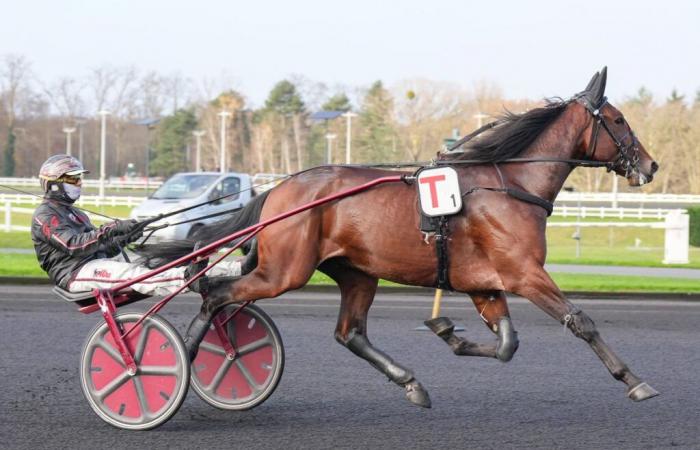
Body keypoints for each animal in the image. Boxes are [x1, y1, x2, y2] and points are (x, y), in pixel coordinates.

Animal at [138, 67, 660, 408]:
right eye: (618, 120)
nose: (650, 164)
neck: (510, 183)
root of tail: (280, 190)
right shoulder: (525, 274)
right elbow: (581, 321)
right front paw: (634, 380)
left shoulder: (486, 283)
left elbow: (506, 344)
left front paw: (449, 333)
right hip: (284, 271)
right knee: (215, 292)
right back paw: (176, 360)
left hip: (356, 273)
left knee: (349, 333)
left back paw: (411, 382)